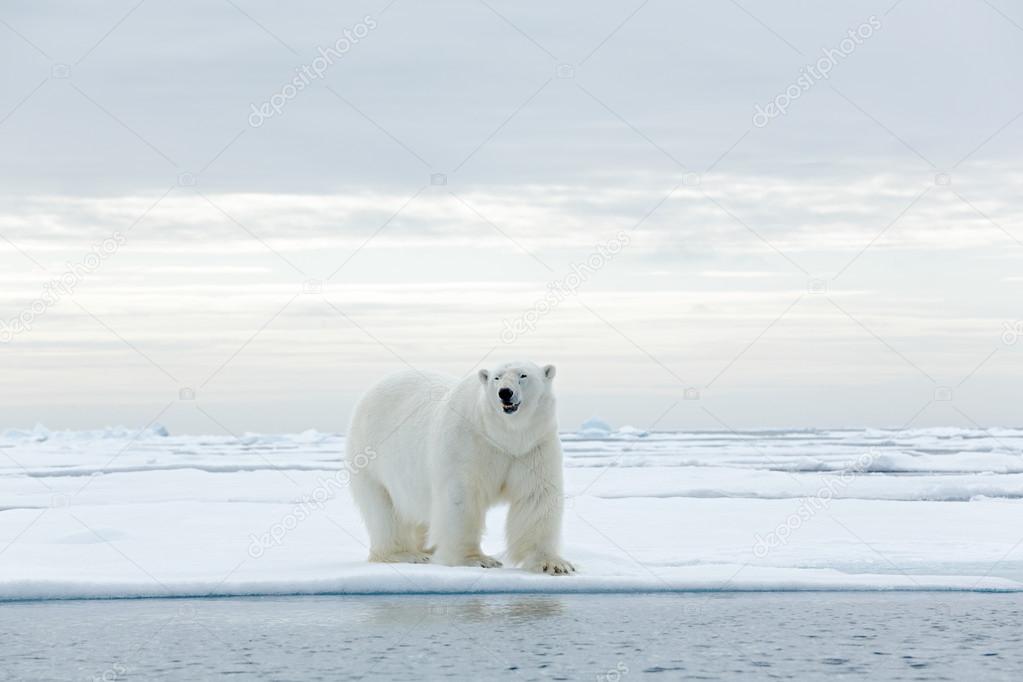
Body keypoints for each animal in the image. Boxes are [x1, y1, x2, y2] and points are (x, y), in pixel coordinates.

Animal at [347, 361, 576, 576]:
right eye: (496, 377)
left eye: (523, 375)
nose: (505, 392)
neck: (503, 436)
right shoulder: (467, 443)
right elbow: (461, 497)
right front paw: (476, 560)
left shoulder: (533, 447)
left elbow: (536, 496)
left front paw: (553, 564)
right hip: (371, 457)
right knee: (384, 510)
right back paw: (406, 554)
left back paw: (427, 550)